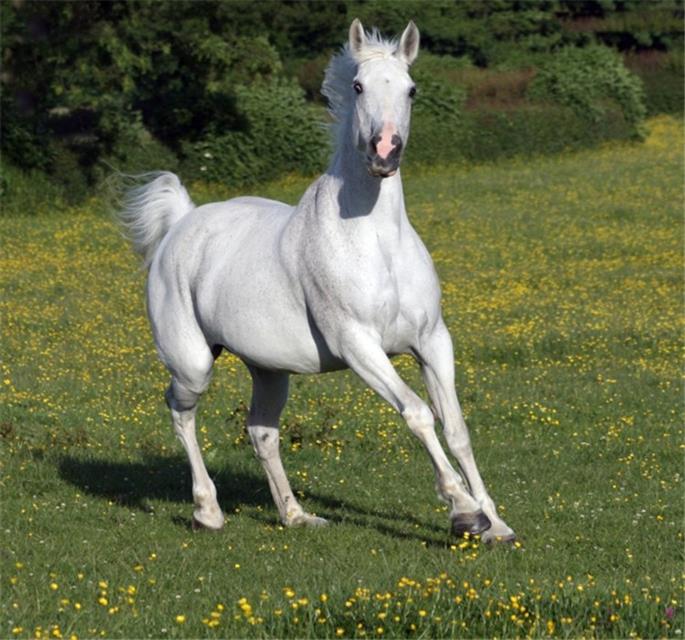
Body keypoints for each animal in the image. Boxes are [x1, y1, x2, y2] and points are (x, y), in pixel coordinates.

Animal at [118, 19, 516, 544]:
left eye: (411, 89)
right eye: (358, 86)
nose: (384, 152)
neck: (375, 240)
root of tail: (181, 222)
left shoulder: (432, 340)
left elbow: (455, 427)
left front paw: (496, 525)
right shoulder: (358, 344)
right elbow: (417, 412)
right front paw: (464, 511)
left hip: (268, 369)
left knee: (261, 432)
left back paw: (296, 515)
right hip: (193, 363)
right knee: (180, 411)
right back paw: (208, 512)